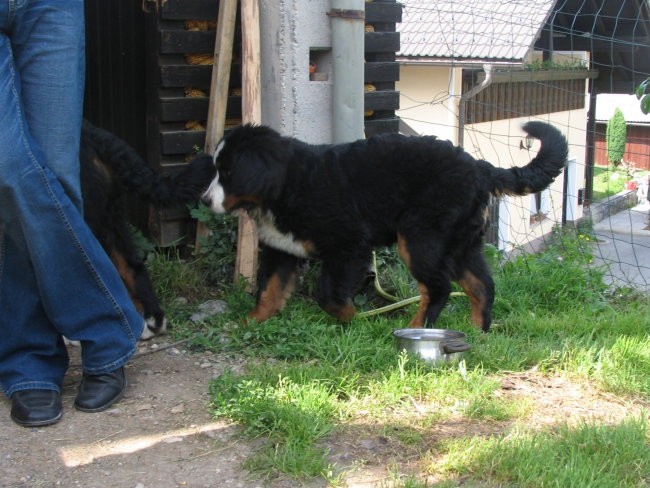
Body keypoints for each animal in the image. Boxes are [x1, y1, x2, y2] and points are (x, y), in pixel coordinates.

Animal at [202, 122, 568, 332]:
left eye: (228, 173)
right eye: (217, 170)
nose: (205, 200)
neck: (287, 184)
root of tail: (479, 167)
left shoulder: (349, 246)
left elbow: (328, 294)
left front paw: (350, 319)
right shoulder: (281, 249)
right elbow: (269, 290)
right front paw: (251, 321)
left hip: (420, 237)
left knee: (439, 287)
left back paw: (415, 328)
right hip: (461, 242)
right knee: (481, 286)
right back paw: (479, 331)